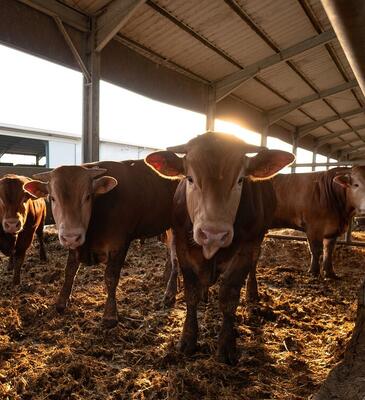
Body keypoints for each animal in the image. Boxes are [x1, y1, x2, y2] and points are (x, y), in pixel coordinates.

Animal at [23, 160, 177, 328]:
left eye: (88, 197)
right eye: (52, 198)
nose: (71, 236)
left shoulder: (119, 245)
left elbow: (111, 277)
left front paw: (109, 315)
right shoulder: (77, 244)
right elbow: (69, 271)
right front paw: (61, 302)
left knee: (176, 258)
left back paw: (170, 294)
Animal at [145, 133, 292, 364]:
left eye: (240, 180)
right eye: (190, 179)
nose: (213, 233)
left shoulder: (245, 251)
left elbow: (229, 300)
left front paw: (226, 346)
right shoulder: (183, 247)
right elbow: (191, 294)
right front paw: (187, 339)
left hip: (259, 238)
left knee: (255, 263)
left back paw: (252, 292)